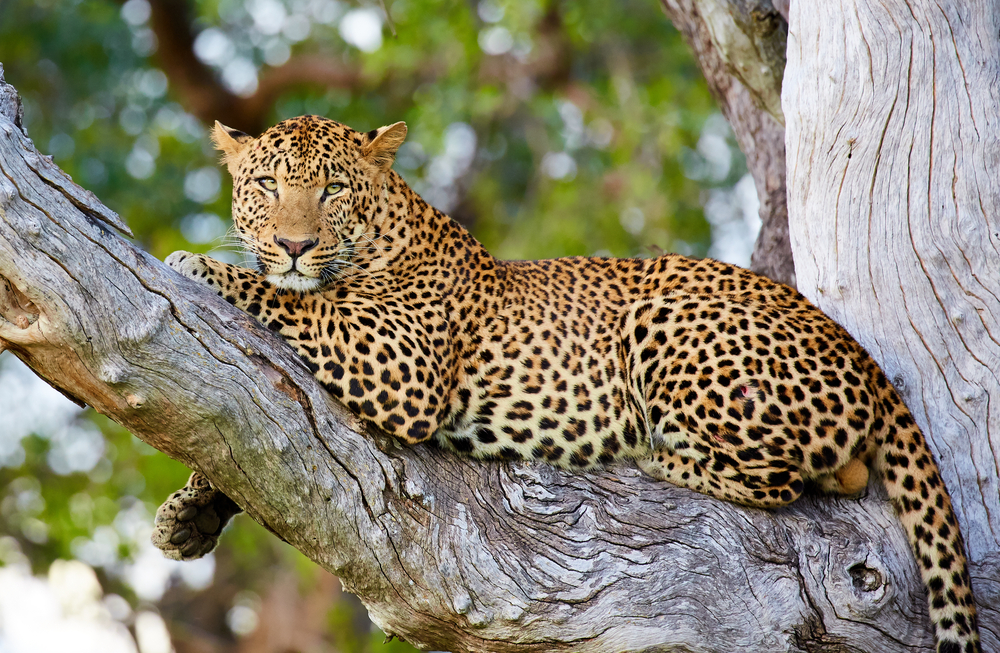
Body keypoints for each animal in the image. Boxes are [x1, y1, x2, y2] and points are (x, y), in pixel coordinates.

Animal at [152, 114, 980, 648]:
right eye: (266, 183)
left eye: (331, 189)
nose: (293, 244)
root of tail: (864, 356)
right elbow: (245, 435)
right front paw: (189, 513)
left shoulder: (400, 357)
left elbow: (295, 306)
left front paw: (195, 262)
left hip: (664, 316)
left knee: (782, 479)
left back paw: (654, 451)